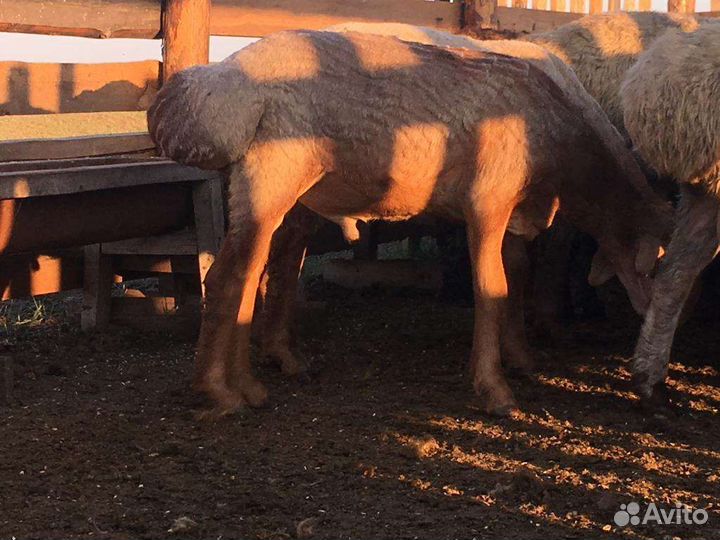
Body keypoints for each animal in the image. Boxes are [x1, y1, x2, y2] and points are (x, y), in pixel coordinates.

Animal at [148, 30, 670, 417]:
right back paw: (219, 391)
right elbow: (493, 289)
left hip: (266, 184)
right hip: (274, 173)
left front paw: (519, 358)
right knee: (226, 277)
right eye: (656, 265)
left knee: (250, 274)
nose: (651, 321)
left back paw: (252, 384)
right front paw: (495, 388)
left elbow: (515, 277)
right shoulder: (487, 200)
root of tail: (213, 83)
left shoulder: (512, 212)